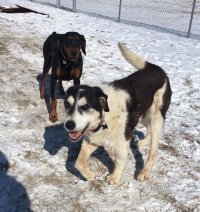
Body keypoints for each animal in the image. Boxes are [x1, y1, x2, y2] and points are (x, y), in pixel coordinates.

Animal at [63, 42, 171, 184]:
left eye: (85, 106)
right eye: (67, 104)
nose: (69, 125)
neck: (104, 117)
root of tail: (157, 69)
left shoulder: (123, 141)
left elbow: (119, 161)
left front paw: (114, 177)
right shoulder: (92, 140)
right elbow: (78, 162)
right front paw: (89, 175)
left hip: (156, 116)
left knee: (154, 150)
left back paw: (145, 171)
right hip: (142, 114)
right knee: (149, 128)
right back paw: (144, 142)